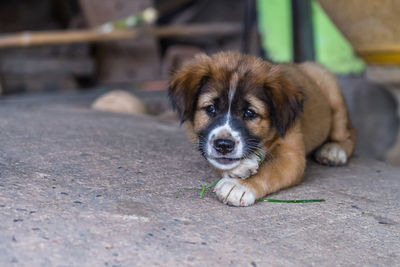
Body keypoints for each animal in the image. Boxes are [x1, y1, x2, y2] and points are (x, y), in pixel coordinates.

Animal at [167, 51, 354, 207]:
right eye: (211, 109)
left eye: (250, 113)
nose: (223, 145)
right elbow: (214, 160)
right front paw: (241, 167)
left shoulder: (291, 157)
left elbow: (269, 171)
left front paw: (239, 187)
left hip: (332, 94)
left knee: (349, 134)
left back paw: (333, 150)